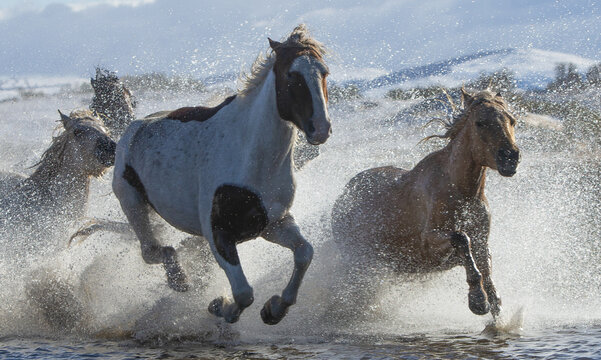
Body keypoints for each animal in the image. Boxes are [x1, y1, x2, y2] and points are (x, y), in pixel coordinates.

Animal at [110, 23, 330, 324]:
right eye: (291, 76)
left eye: (324, 72)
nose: (321, 129)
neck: (252, 158)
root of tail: (135, 127)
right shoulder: (218, 234)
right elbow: (243, 293)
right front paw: (220, 306)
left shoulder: (273, 223)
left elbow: (305, 253)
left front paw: (274, 309)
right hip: (131, 202)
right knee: (152, 251)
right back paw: (179, 278)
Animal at [330, 89, 516, 318]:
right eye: (480, 123)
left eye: (512, 120)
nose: (510, 158)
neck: (461, 192)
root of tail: (341, 198)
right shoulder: (428, 246)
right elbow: (462, 240)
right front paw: (478, 300)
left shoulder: (481, 241)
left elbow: (486, 269)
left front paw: (494, 305)